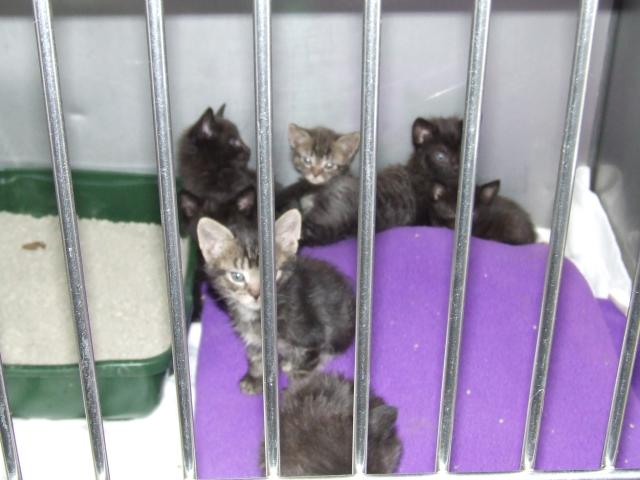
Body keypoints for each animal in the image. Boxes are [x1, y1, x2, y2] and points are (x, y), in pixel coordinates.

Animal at [197, 209, 356, 394]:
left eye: (272, 274)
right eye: (237, 276)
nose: (256, 294)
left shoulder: (312, 341)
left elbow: (302, 374)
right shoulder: (256, 341)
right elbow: (257, 358)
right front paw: (255, 378)